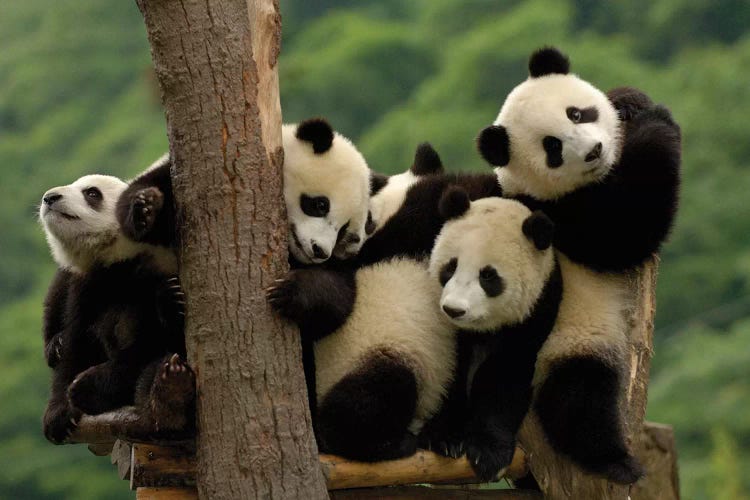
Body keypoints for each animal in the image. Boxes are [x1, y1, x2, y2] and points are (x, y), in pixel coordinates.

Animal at [40, 174, 195, 444]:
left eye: (92, 193)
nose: (50, 197)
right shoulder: (87, 286)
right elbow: (76, 342)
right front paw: (58, 414)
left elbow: (148, 346)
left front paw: (85, 389)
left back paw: (170, 392)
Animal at [478, 47, 684, 484]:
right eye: (552, 148)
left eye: (576, 113)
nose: (593, 151)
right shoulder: (557, 216)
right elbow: (626, 229)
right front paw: (657, 122)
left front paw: (629, 101)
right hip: (564, 342)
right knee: (579, 398)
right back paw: (615, 461)